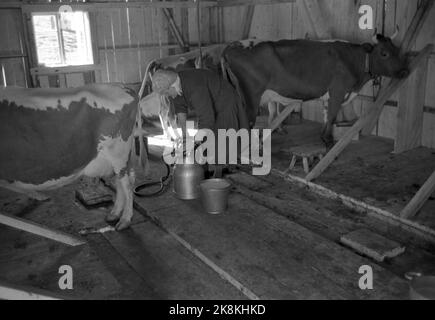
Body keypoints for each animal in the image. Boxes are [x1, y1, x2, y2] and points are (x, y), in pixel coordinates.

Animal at [0, 84, 146, 230]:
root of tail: (124, 87)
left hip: (118, 154)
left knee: (127, 185)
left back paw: (125, 219)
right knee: (120, 182)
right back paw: (114, 214)